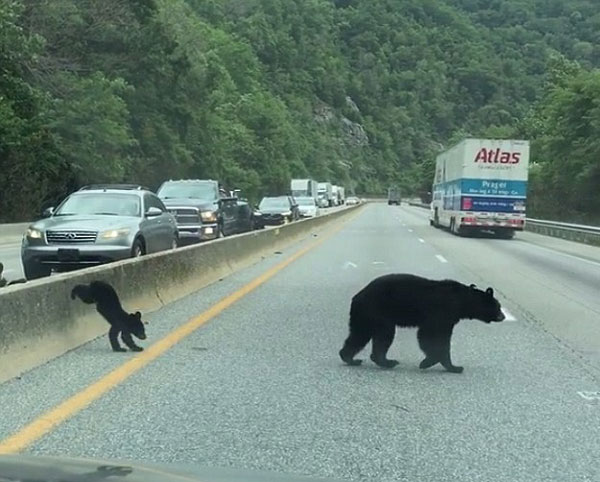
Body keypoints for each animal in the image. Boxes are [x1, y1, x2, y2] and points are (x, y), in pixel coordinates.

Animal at [340, 274, 504, 372]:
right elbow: (431, 336)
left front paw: (449, 365)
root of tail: (356, 297)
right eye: (498, 306)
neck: (462, 301)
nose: (503, 316)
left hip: (365, 317)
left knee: (358, 335)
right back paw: (387, 361)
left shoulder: (449, 318)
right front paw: (445, 364)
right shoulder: (442, 313)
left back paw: (351, 358)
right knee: (383, 335)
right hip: (377, 312)